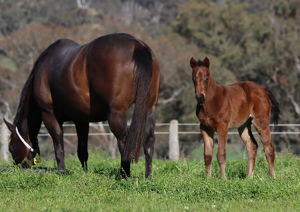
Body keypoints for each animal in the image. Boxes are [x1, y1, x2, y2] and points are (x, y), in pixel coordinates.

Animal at [2, 32, 162, 179]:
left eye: (10, 147)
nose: (19, 168)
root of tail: (137, 46)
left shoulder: (49, 114)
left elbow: (58, 143)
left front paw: (62, 171)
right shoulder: (81, 120)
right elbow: (82, 150)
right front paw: (84, 172)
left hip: (116, 114)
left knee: (124, 141)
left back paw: (125, 176)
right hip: (149, 109)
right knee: (149, 141)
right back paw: (148, 177)